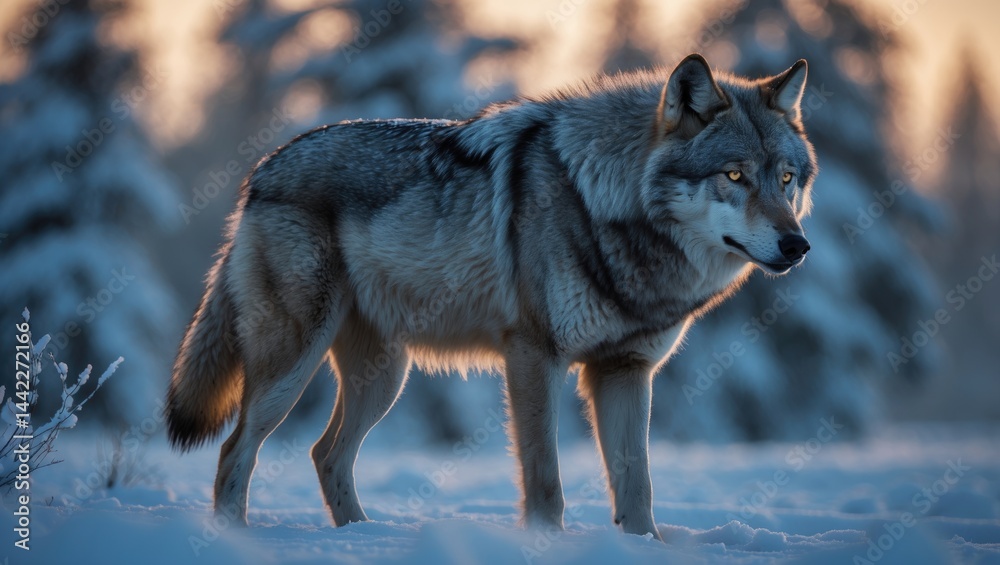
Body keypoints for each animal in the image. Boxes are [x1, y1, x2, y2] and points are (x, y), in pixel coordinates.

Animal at [166, 53, 816, 539]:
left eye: (785, 178)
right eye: (734, 176)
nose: (798, 245)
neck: (601, 201)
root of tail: (261, 170)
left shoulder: (625, 370)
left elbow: (638, 487)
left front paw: (640, 547)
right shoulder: (533, 357)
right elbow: (546, 482)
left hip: (385, 379)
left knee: (325, 455)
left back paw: (362, 536)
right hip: (292, 368)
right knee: (236, 451)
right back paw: (235, 540)